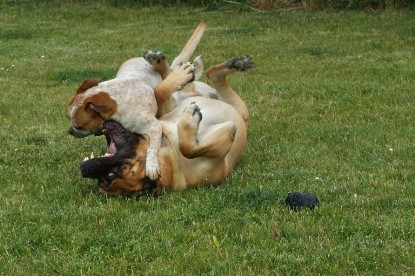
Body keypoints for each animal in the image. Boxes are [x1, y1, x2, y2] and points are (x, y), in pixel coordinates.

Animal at [79, 54, 255, 196]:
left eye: (111, 174)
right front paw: (189, 120)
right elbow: (189, 148)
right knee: (213, 74)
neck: (170, 153)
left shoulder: (165, 110)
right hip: (239, 108)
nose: (84, 169)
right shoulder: (220, 154)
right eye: (107, 178)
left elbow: (160, 92)